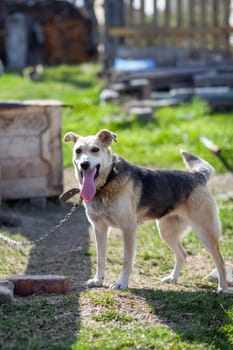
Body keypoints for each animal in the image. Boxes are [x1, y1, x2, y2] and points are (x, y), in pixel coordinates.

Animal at [64, 129, 228, 292]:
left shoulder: (128, 229)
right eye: (78, 151)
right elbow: (100, 258)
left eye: (95, 149)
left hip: (206, 233)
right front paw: (98, 280)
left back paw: (223, 288)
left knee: (220, 261)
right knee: (182, 254)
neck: (106, 183)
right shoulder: (99, 228)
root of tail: (197, 176)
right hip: (166, 232)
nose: (84, 164)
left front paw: (122, 283)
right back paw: (173, 278)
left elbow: (126, 260)